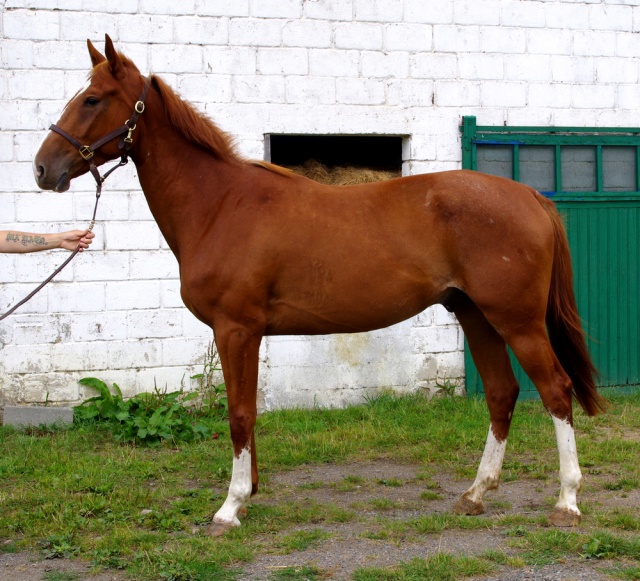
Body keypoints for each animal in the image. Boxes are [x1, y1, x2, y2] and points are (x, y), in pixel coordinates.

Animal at [33, 37, 604, 536]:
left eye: (92, 98)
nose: (42, 168)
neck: (219, 205)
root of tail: (532, 196)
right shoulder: (245, 335)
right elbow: (248, 413)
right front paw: (249, 493)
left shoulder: (235, 330)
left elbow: (238, 414)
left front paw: (229, 508)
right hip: (476, 315)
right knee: (502, 392)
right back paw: (476, 494)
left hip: (517, 321)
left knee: (556, 391)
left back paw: (567, 502)